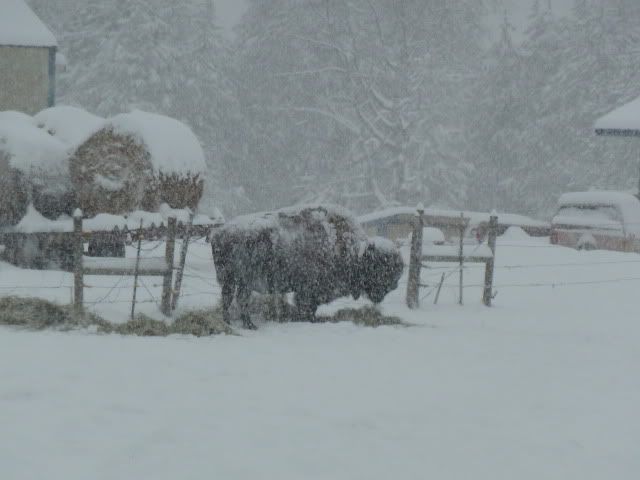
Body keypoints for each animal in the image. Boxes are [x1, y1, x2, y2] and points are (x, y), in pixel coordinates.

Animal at [211, 205, 404, 329]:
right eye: (380, 266)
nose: (394, 285)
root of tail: (220, 233)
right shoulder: (309, 291)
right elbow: (307, 307)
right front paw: (308, 320)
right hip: (244, 281)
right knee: (240, 300)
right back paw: (249, 325)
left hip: (231, 281)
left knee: (228, 299)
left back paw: (229, 322)